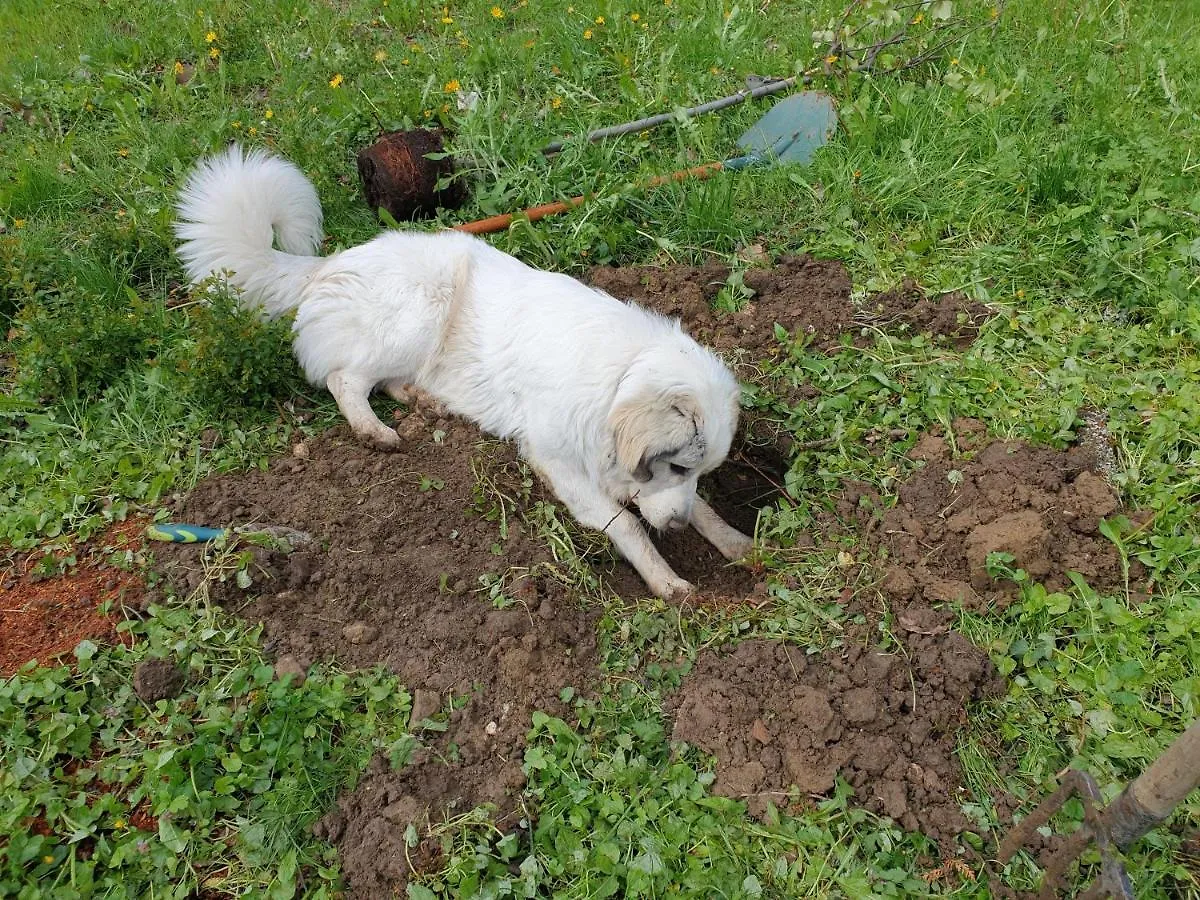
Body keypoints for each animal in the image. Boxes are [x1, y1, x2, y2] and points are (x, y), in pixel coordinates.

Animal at [171, 146, 748, 600]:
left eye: (698, 471)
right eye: (677, 466)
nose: (675, 526)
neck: (619, 380)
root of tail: (329, 263)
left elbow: (698, 510)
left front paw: (733, 540)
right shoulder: (558, 462)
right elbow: (627, 524)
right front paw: (666, 580)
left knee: (381, 379)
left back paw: (421, 400)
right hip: (420, 310)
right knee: (345, 379)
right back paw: (374, 430)